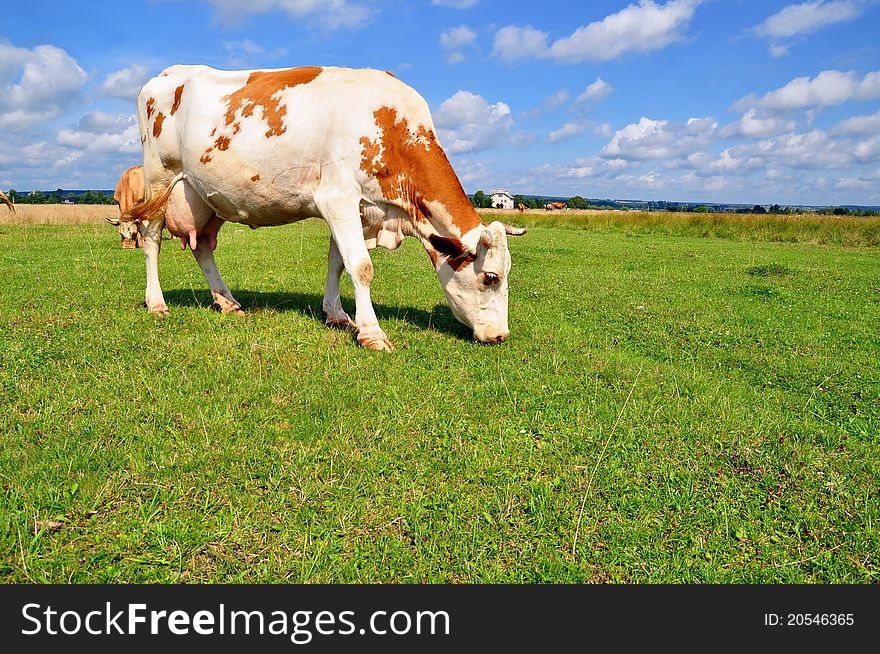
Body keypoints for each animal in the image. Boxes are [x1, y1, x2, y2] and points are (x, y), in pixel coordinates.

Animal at [120, 65, 524, 354]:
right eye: (491, 277)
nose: (501, 336)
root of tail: (166, 74)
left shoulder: (360, 210)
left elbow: (338, 263)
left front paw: (338, 315)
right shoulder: (338, 198)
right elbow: (361, 267)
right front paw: (372, 333)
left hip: (206, 195)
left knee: (202, 246)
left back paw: (227, 301)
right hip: (159, 180)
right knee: (151, 239)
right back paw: (156, 303)